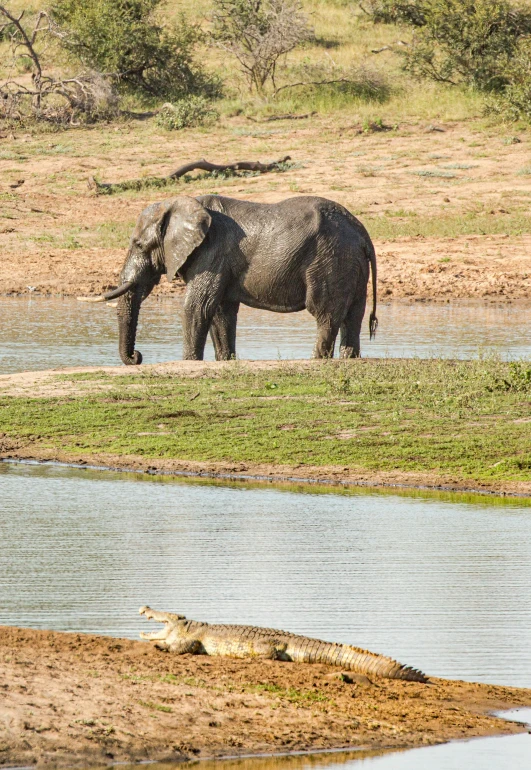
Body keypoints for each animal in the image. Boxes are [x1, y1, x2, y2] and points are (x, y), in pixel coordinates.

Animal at [86, 195, 378, 364]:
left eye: (138, 244)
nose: (137, 357)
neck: (181, 204)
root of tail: (363, 232)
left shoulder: (213, 252)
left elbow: (197, 307)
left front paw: (190, 362)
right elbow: (220, 312)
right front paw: (225, 361)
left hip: (331, 260)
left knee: (325, 313)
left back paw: (317, 360)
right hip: (349, 264)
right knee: (353, 315)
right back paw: (349, 359)